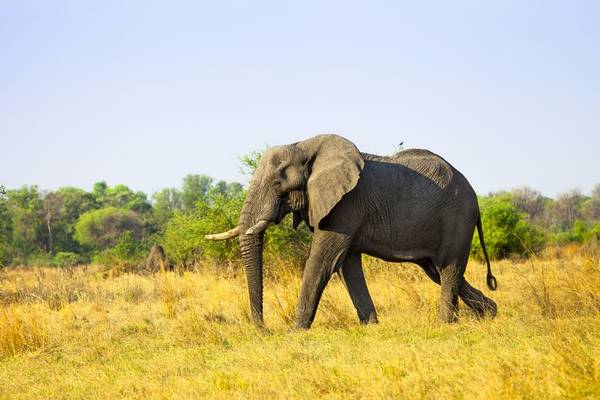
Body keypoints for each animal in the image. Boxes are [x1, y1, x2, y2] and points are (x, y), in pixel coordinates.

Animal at [206, 134, 496, 328]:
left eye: (278, 184)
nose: (263, 330)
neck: (304, 145)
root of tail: (475, 195)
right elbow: (347, 266)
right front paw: (371, 327)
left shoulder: (346, 204)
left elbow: (323, 261)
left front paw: (295, 331)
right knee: (439, 271)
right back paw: (489, 313)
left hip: (457, 218)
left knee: (448, 268)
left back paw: (446, 324)